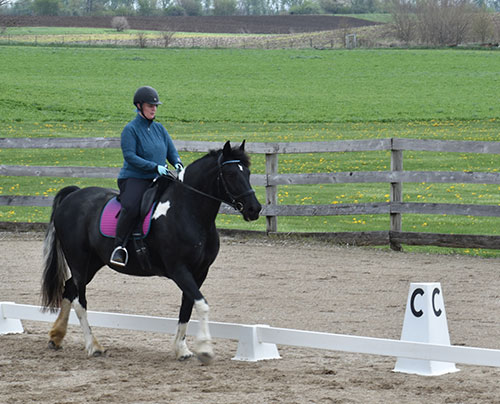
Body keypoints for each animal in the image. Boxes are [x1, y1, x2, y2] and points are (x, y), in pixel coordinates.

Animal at [41, 140, 262, 362]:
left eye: (248, 173)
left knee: (69, 289)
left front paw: (182, 349)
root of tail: (73, 195)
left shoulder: (199, 272)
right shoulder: (178, 269)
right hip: (79, 260)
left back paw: (56, 337)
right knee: (80, 301)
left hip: (93, 263)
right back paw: (93, 346)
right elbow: (202, 304)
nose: (255, 209)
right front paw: (205, 349)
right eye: (231, 174)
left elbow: (187, 307)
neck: (187, 211)